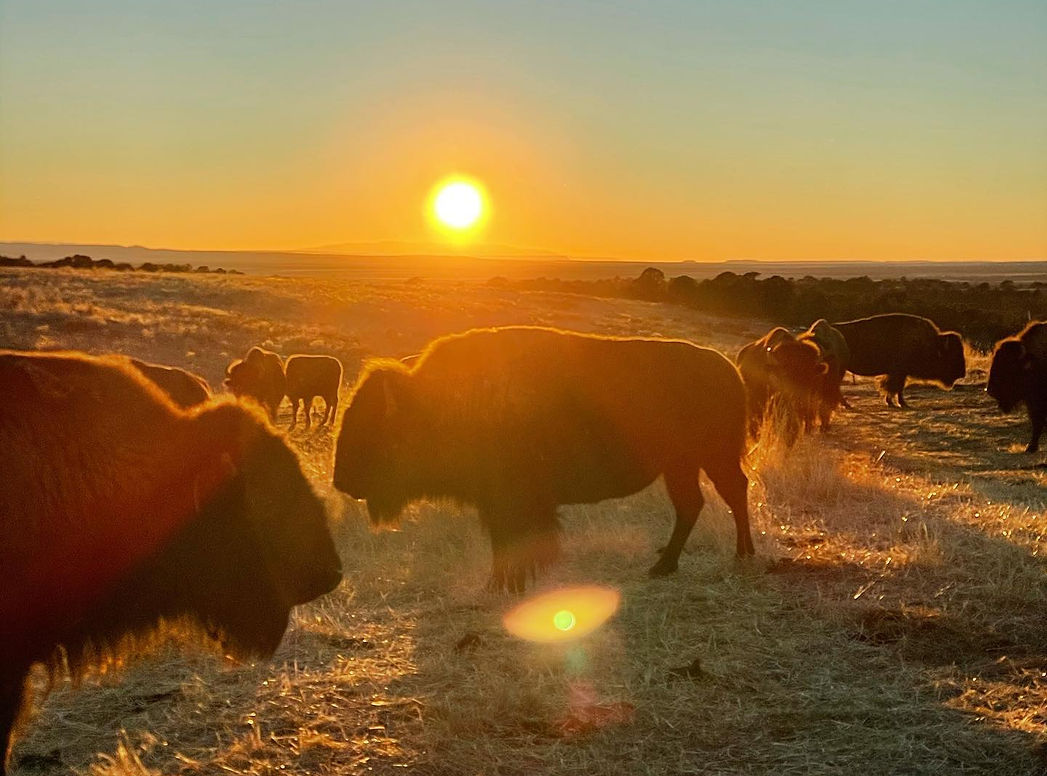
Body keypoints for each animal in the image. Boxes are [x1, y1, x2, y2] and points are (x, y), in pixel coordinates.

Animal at [333, 326, 754, 593]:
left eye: (374, 431)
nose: (340, 480)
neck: (436, 402)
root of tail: (729, 369)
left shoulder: (517, 502)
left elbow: (518, 544)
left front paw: (508, 585)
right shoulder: (499, 505)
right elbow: (504, 543)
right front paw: (503, 584)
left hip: (713, 457)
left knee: (734, 493)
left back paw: (742, 556)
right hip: (680, 466)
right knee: (691, 504)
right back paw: (663, 567)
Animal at [831, 313, 966, 408]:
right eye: (952, 355)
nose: (962, 373)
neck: (929, 343)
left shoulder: (899, 374)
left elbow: (896, 388)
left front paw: (892, 402)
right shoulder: (899, 373)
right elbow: (895, 388)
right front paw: (900, 403)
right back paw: (846, 405)